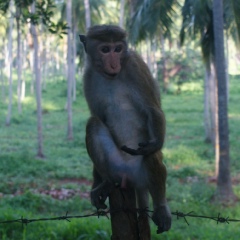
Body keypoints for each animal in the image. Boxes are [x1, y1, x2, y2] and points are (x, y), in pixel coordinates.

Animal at [79, 25, 172, 233]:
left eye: (118, 49)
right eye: (105, 49)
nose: (114, 64)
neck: (109, 76)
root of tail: (131, 179)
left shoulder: (134, 66)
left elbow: (152, 109)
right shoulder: (88, 77)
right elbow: (98, 116)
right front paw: (96, 182)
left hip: (142, 169)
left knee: (151, 153)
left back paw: (161, 207)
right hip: (115, 166)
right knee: (93, 124)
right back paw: (105, 182)